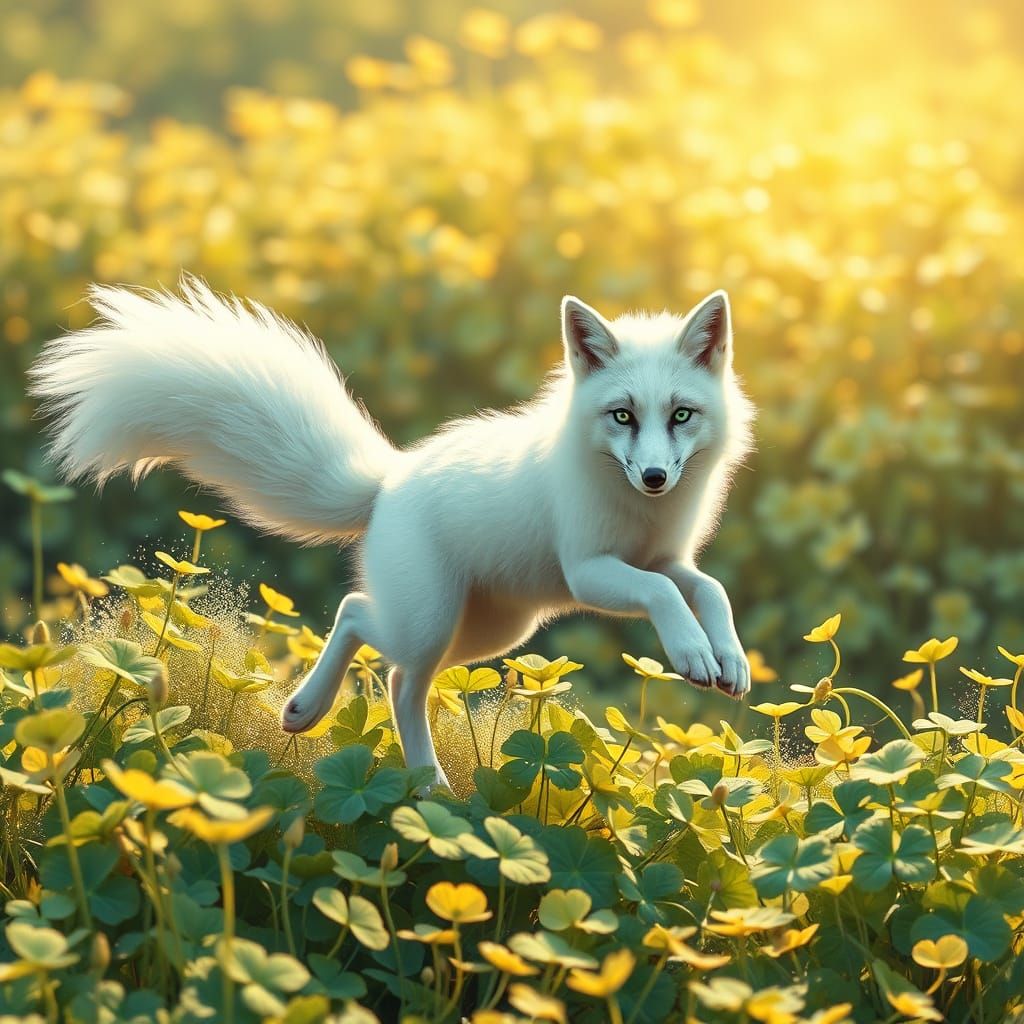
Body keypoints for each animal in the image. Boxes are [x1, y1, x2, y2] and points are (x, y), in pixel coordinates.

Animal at [30, 277, 755, 788]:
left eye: (682, 414)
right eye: (623, 415)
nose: (656, 476)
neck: (641, 514)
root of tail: (389, 481)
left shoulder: (664, 558)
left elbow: (708, 589)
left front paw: (727, 658)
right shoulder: (592, 570)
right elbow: (665, 597)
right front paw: (692, 654)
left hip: (490, 632)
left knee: (402, 679)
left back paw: (426, 785)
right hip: (434, 621)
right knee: (360, 619)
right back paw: (310, 711)